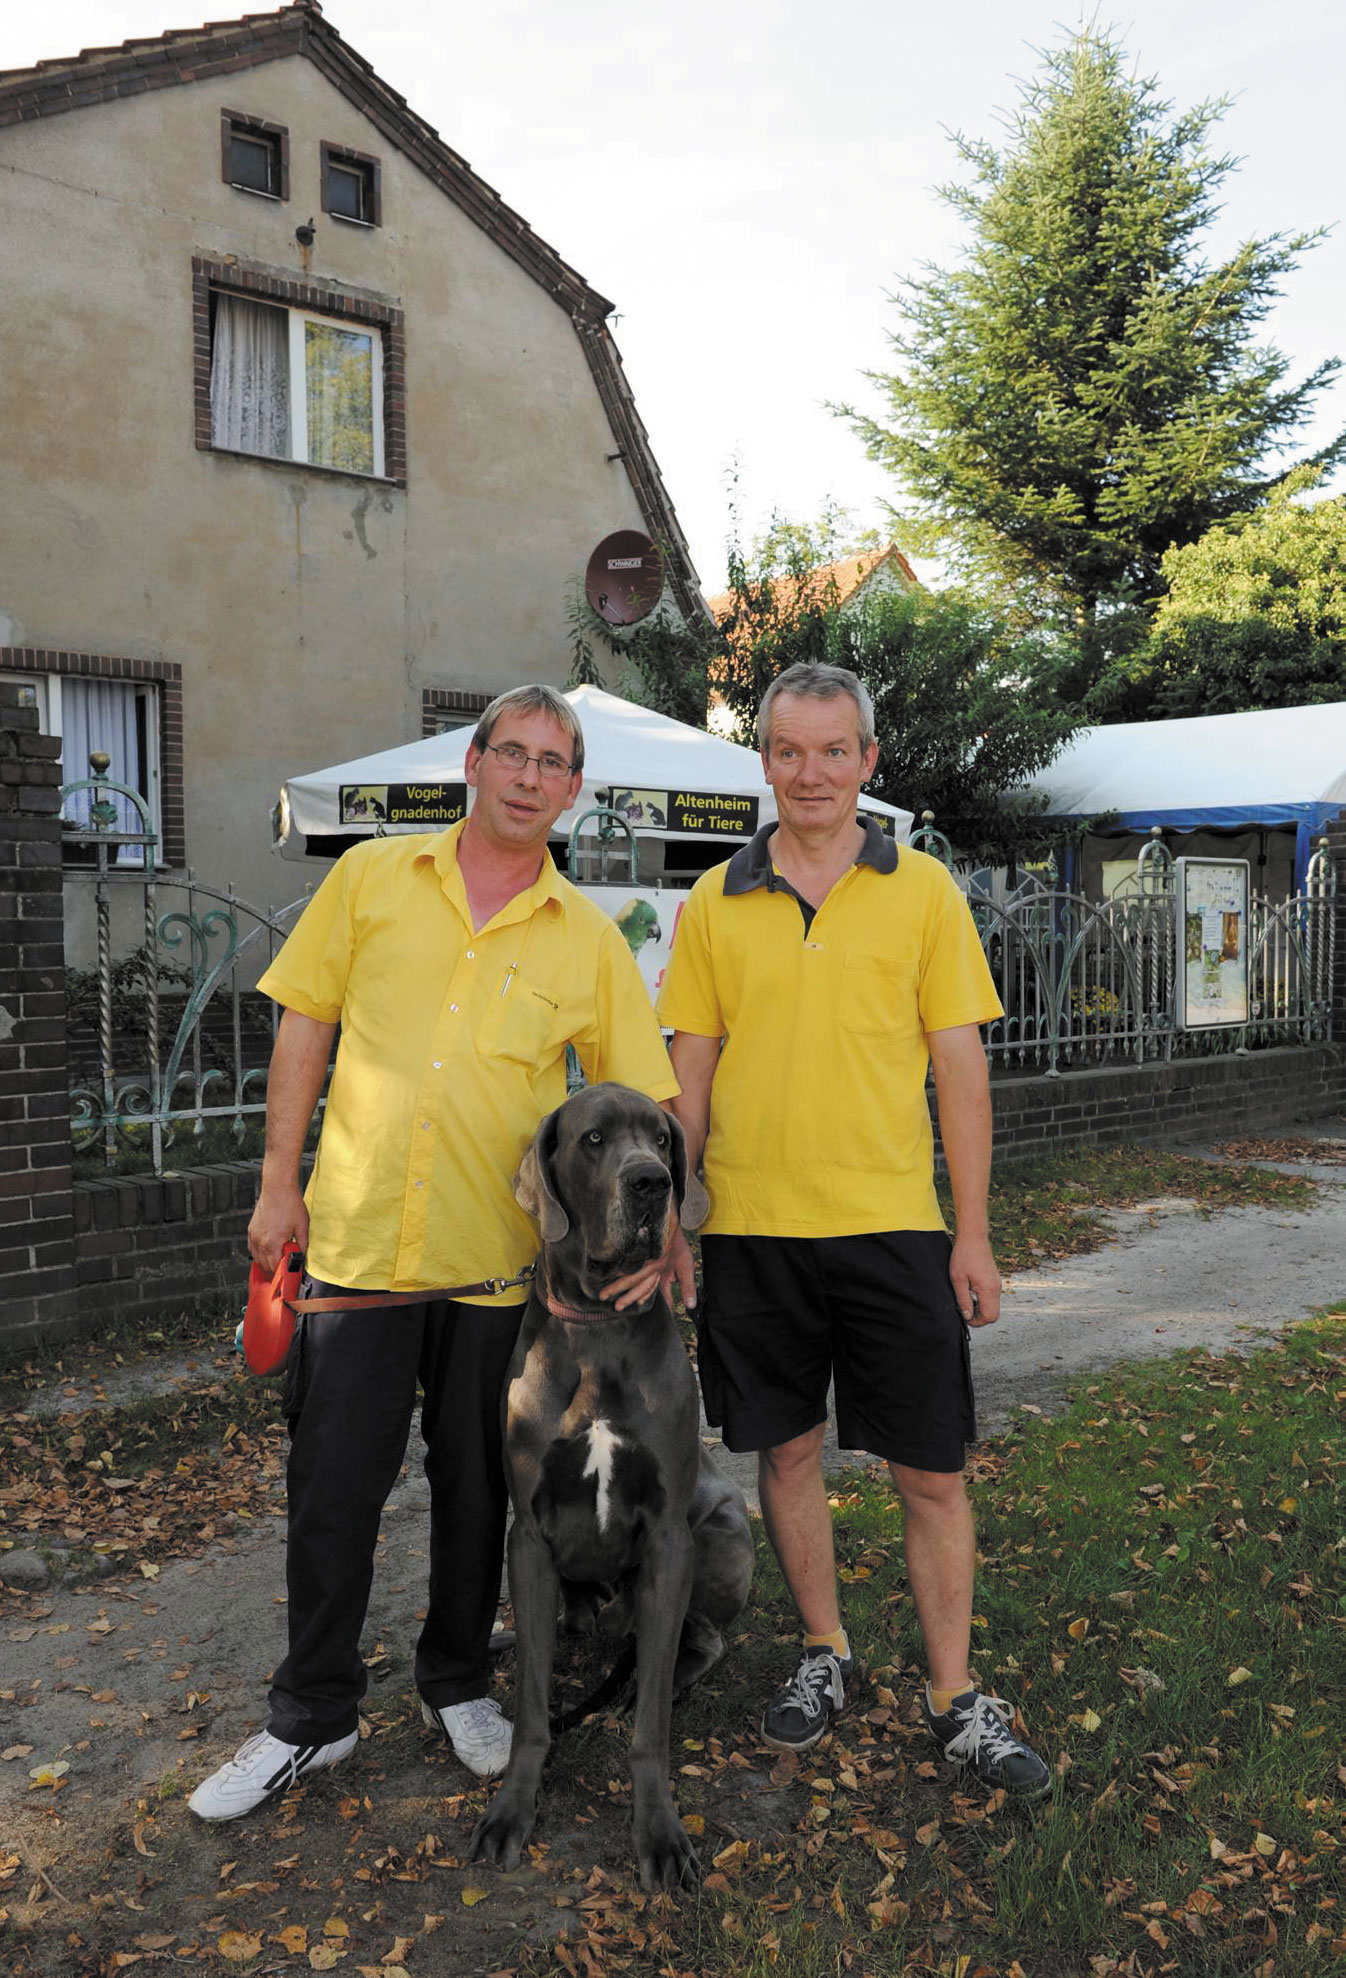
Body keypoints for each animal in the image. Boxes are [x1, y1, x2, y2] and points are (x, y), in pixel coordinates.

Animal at [467, 1083, 752, 1898]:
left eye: (661, 1138)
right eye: (594, 1140)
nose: (652, 1183)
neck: (596, 1326)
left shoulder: (668, 1537)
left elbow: (651, 1725)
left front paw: (659, 1834)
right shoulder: (528, 1537)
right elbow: (534, 1708)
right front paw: (512, 1810)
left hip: (725, 1529)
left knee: (701, 1638)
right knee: (561, 1631)